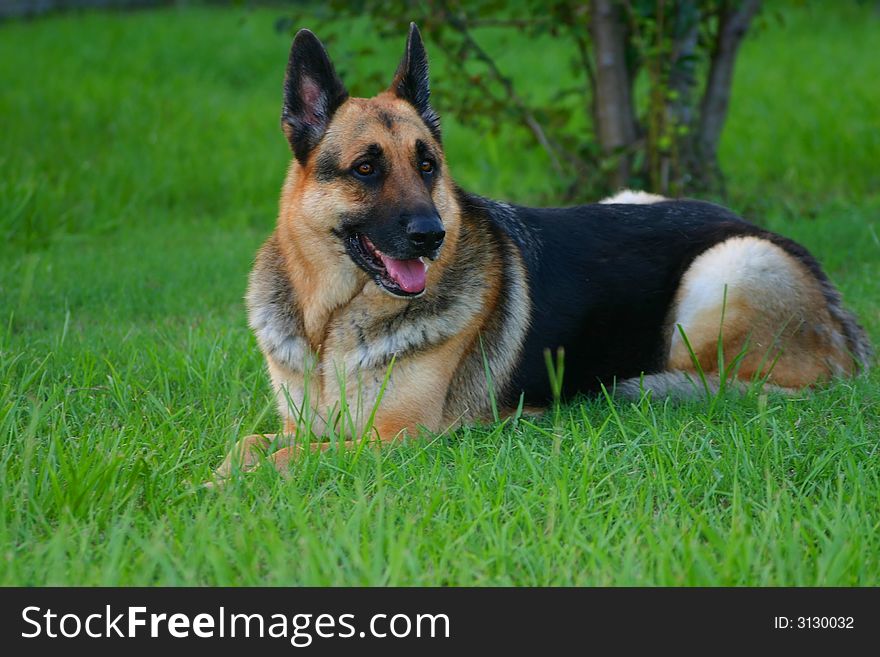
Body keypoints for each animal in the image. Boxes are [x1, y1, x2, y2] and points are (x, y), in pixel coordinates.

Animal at [211, 25, 868, 480]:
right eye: (366, 169)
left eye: (428, 167)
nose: (432, 236)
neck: (328, 326)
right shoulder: (300, 423)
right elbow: (250, 445)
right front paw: (217, 477)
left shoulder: (400, 437)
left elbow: (292, 459)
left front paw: (224, 490)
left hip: (723, 271)